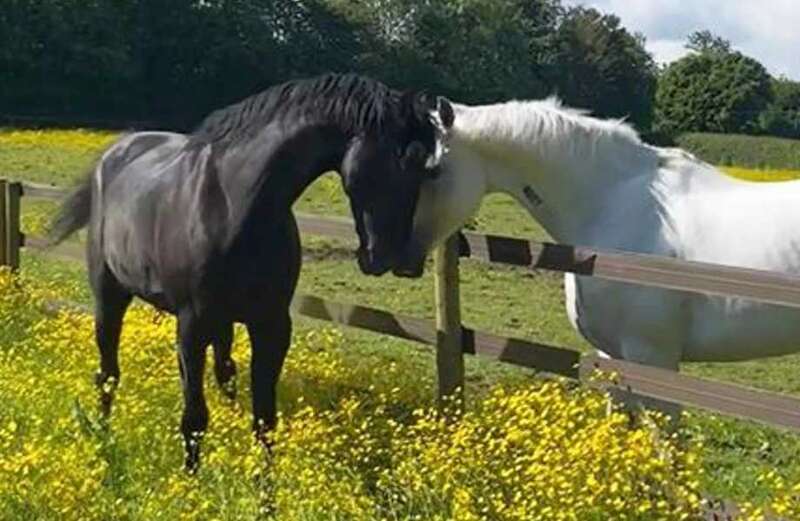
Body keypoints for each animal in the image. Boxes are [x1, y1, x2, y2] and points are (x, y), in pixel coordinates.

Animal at [48, 74, 450, 472]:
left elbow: (264, 420)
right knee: (108, 375)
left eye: (426, 169)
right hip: (110, 296)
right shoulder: (192, 326)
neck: (234, 204)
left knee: (223, 373)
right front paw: (192, 482)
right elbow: (194, 418)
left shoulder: (271, 325)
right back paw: (103, 438)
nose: (394, 258)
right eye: (396, 160)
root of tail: (114, 154)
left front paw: (264, 487)